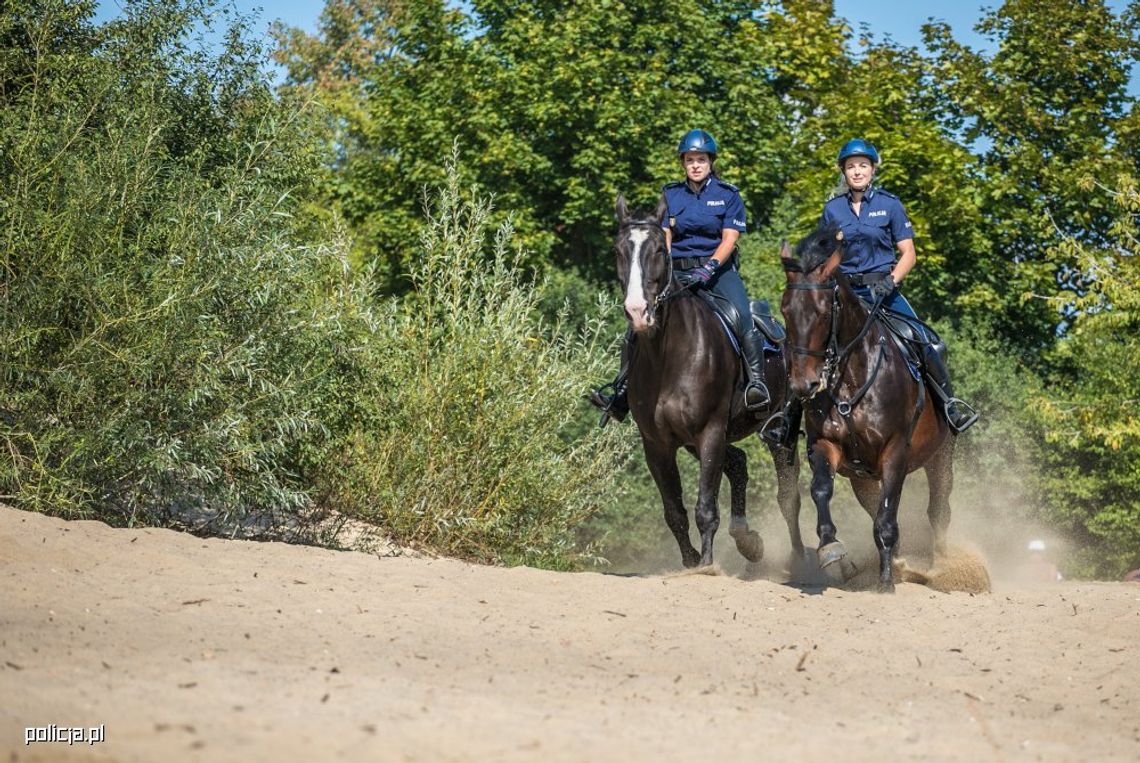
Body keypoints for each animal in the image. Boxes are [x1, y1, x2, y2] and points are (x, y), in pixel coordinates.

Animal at [615, 193, 802, 567]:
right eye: (619, 250)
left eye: (659, 250)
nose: (638, 311)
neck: (668, 357)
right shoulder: (657, 445)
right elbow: (674, 513)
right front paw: (690, 562)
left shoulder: (710, 432)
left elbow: (705, 508)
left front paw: (706, 566)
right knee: (739, 464)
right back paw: (748, 540)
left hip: (778, 434)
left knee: (788, 497)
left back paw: (804, 559)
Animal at [779, 223, 957, 593]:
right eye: (785, 310)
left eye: (822, 312)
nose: (804, 385)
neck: (851, 378)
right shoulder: (825, 445)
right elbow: (821, 490)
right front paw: (830, 546)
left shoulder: (895, 452)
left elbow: (888, 517)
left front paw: (886, 581)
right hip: (862, 476)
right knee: (873, 505)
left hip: (941, 455)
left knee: (938, 509)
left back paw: (943, 568)